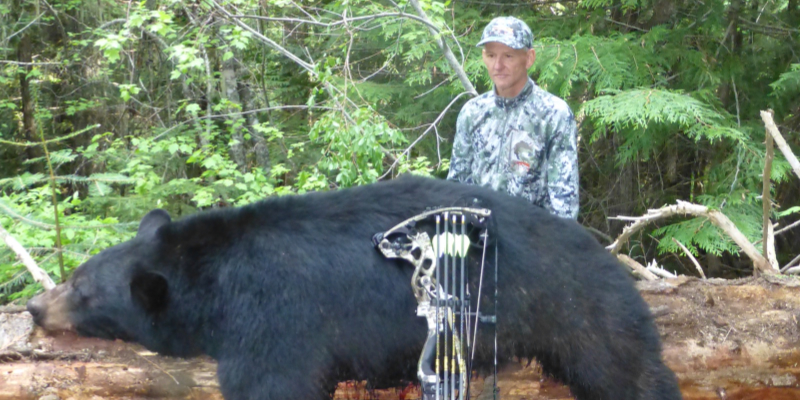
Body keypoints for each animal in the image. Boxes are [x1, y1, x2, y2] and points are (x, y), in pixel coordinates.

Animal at [27, 174, 682, 400]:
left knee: (625, 371)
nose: (33, 306)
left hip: (576, 306)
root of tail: (603, 250)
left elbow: (272, 385)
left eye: (81, 289)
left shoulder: (276, 320)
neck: (210, 274)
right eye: (74, 273)